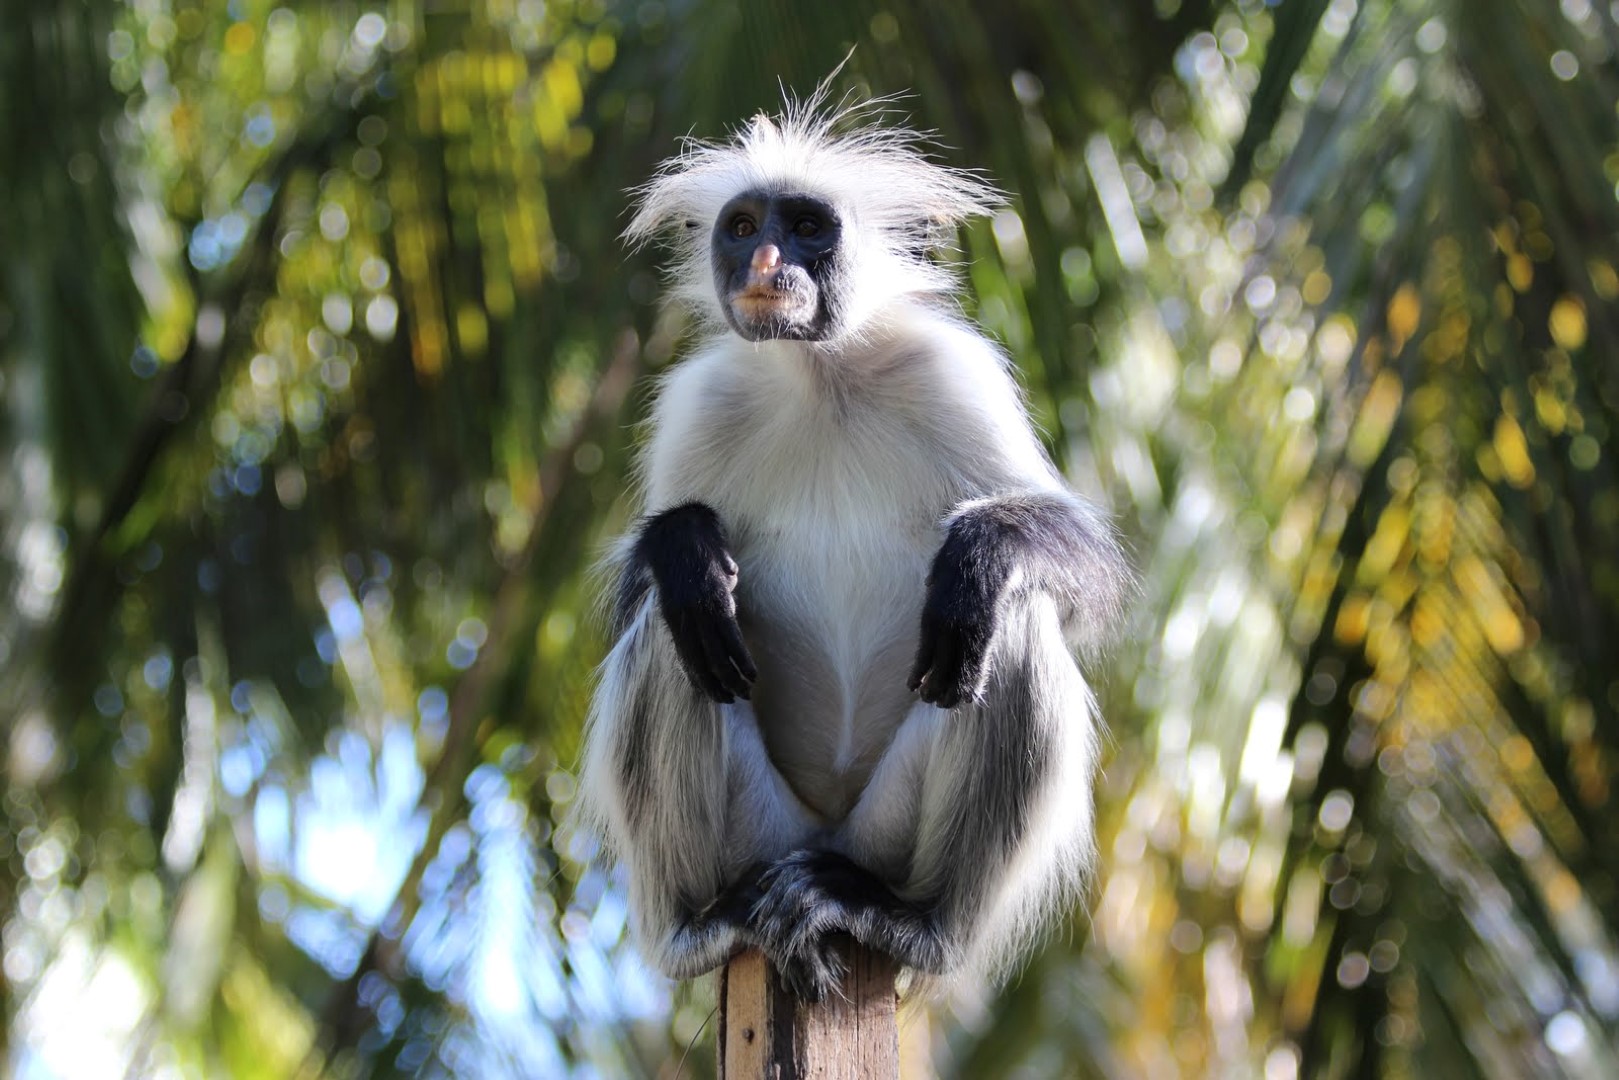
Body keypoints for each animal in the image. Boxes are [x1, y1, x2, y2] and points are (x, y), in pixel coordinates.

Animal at [575, 91, 1131, 1003]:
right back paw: (698, 923)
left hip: (886, 830)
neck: (820, 377)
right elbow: (642, 592)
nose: (765, 261)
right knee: (674, 628)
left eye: (807, 226)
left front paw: (980, 557)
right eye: (741, 227)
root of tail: (824, 839)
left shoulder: (952, 372)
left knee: (1009, 625)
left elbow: (1078, 577)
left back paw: (912, 921)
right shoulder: (701, 399)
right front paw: (686, 549)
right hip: (759, 835)